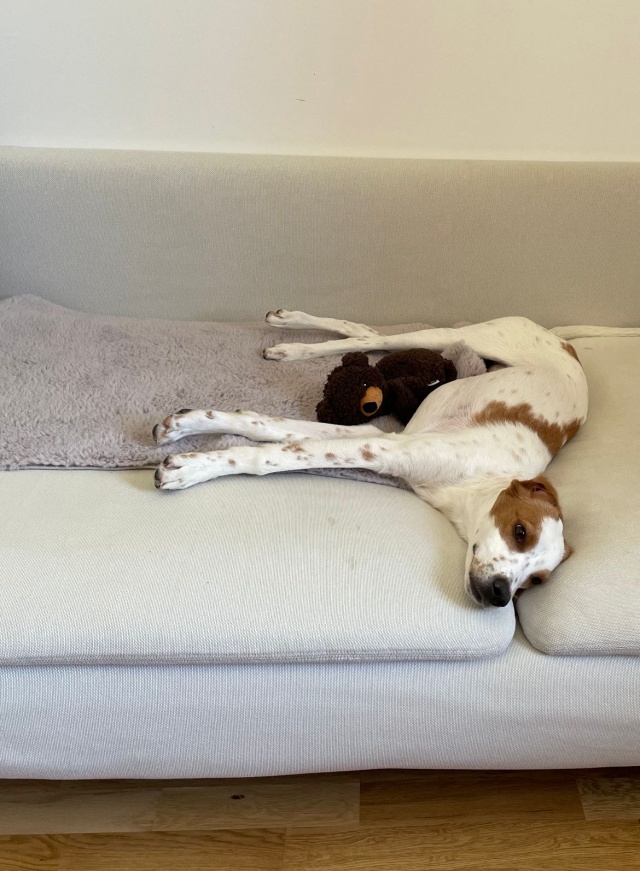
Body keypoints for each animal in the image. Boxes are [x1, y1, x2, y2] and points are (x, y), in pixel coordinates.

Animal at [153, 311, 638, 608]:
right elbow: (267, 457)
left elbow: (264, 426)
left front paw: (188, 427)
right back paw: (293, 344)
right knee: (372, 334)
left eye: (536, 583)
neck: (470, 484)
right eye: (521, 532)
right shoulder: (389, 448)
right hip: (460, 336)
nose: (502, 594)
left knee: (367, 334)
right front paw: (191, 464)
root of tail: (564, 343)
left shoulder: (377, 438)